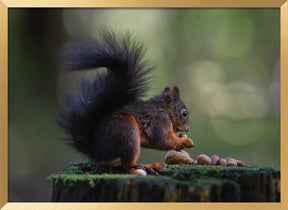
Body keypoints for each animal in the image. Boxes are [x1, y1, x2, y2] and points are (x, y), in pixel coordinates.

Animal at [58, 30, 194, 174]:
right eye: (184, 113)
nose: (188, 129)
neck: (165, 109)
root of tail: (96, 149)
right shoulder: (159, 120)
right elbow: (162, 140)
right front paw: (185, 142)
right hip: (127, 131)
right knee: (128, 165)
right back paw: (148, 166)